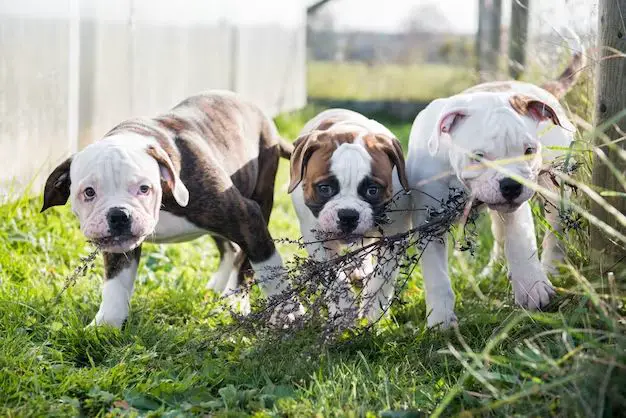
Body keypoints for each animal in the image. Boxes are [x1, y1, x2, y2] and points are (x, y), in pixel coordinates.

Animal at [41, 90, 300, 326]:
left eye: (144, 188)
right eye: (89, 192)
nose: (119, 215)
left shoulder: (247, 218)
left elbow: (269, 270)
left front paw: (286, 312)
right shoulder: (118, 247)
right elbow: (116, 283)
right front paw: (106, 324)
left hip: (261, 197)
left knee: (244, 259)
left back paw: (236, 299)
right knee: (230, 248)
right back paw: (219, 285)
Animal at [288, 109, 410, 322]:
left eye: (372, 190)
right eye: (325, 188)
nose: (348, 215)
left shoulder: (396, 236)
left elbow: (384, 277)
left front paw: (373, 311)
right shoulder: (317, 240)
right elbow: (334, 276)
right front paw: (344, 310)